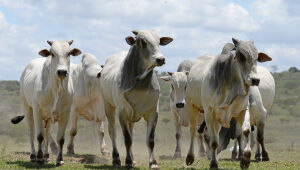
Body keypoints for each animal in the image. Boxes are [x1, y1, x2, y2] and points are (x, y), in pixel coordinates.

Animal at [99, 30, 172, 169]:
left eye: (159, 41)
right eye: (143, 41)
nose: (160, 59)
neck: (140, 85)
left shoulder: (153, 112)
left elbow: (150, 140)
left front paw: (153, 163)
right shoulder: (122, 112)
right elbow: (127, 139)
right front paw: (127, 162)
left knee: (132, 133)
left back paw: (133, 159)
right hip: (108, 105)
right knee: (113, 132)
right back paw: (116, 159)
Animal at [185, 39, 272, 169]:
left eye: (257, 58)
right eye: (241, 56)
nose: (255, 80)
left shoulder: (243, 110)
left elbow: (246, 131)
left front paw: (245, 159)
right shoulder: (209, 112)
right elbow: (214, 141)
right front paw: (214, 164)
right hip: (192, 107)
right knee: (193, 130)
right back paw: (190, 157)